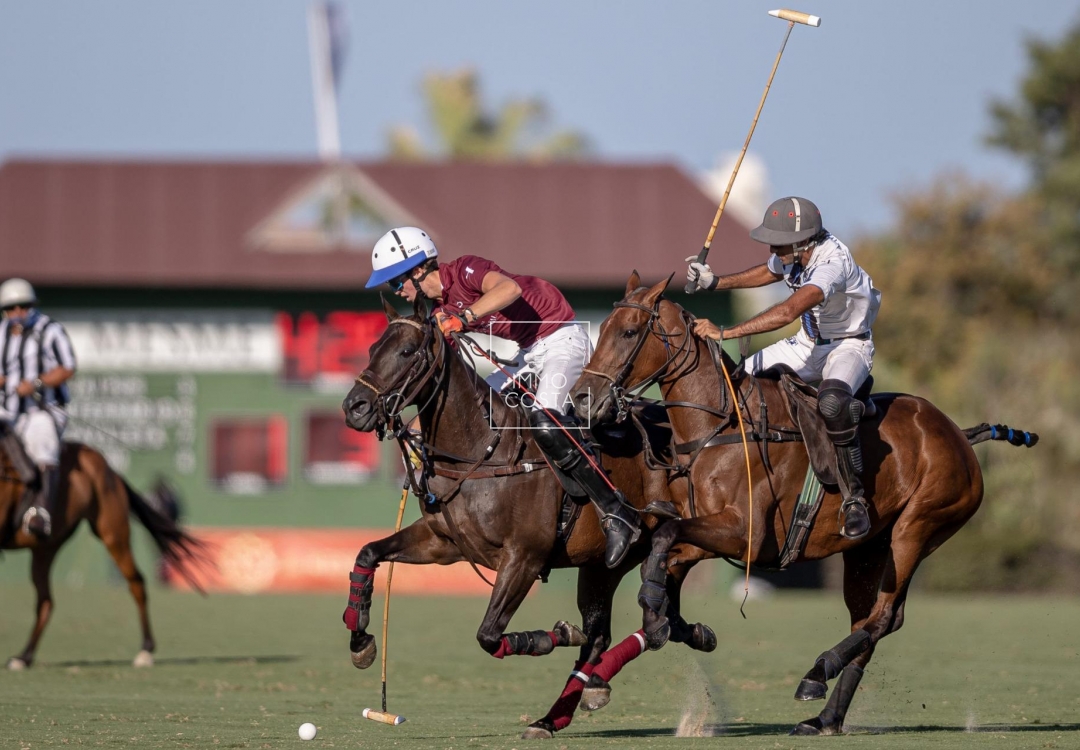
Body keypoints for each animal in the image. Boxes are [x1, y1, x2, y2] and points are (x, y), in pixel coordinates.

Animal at [0, 438, 204, 674]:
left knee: (136, 582)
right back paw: (24, 657)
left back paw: (145, 650)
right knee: (46, 602)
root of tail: (109, 468)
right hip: (45, 548)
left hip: (112, 532)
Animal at [341, 300, 717, 739]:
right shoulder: (441, 543)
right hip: (602, 565)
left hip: (680, 540)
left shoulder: (524, 556)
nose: (354, 408)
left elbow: (488, 634)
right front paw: (361, 641)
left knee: (654, 616)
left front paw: (556, 634)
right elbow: (368, 553)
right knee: (612, 631)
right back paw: (573, 703)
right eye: (371, 349)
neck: (483, 451)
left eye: (406, 351)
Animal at [570, 273, 1032, 739]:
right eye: (602, 328)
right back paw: (825, 716)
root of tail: (957, 432)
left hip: (917, 528)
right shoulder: (705, 532)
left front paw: (657, 618)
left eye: (629, 332)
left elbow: (664, 543)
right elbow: (666, 567)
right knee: (872, 618)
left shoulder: (745, 535)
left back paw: (818, 671)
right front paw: (678, 628)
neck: (718, 427)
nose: (581, 398)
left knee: (884, 616)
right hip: (868, 549)